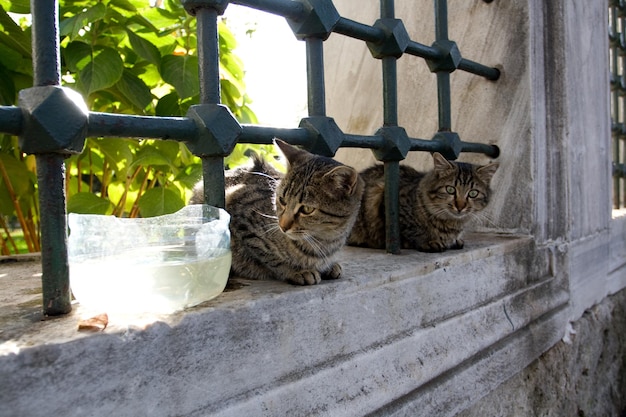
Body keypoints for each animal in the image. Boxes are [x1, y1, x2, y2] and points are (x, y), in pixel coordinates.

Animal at [193, 139, 364, 282]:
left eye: (307, 209)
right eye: (282, 200)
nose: (283, 226)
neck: (324, 242)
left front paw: (330, 265)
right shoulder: (240, 215)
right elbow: (270, 258)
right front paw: (295, 271)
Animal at [346, 152, 498, 250]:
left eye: (473, 193)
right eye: (450, 190)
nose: (460, 206)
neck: (452, 224)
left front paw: (455, 240)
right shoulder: (384, 200)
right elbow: (410, 232)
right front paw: (428, 241)